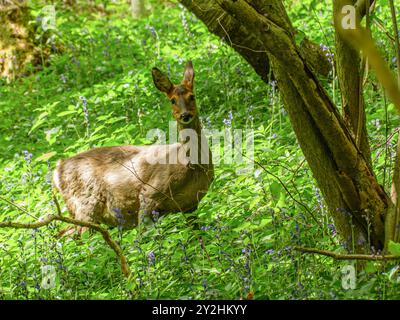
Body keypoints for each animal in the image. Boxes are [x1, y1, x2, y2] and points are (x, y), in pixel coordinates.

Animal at [55, 61, 216, 234]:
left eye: (192, 96)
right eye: (172, 100)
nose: (185, 115)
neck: (190, 166)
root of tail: (57, 169)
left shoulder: (190, 204)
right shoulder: (149, 194)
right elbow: (145, 235)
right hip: (84, 206)